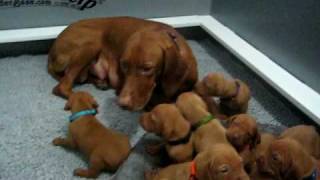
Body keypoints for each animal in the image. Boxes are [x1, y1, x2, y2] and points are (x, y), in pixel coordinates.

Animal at [48, 16, 198, 110]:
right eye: (124, 65)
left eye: (147, 68)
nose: (122, 103)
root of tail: (51, 52)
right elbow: (164, 100)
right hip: (91, 43)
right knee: (62, 86)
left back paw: (100, 82)